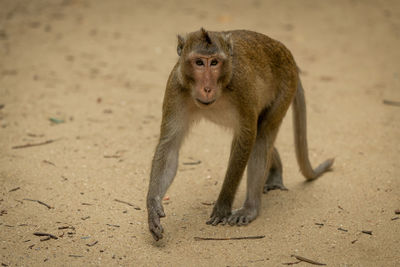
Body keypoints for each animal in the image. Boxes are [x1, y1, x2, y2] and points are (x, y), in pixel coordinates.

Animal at [145, 28, 332, 242]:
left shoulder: (242, 86)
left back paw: (251, 208)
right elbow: (170, 146)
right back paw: (275, 173)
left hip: (285, 86)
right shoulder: (176, 87)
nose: (207, 88)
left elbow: (247, 137)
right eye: (199, 62)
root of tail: (287, 54)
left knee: (261, 136)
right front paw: (153, 207)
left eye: (214, 62)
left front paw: (222, 207)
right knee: (260, 138)